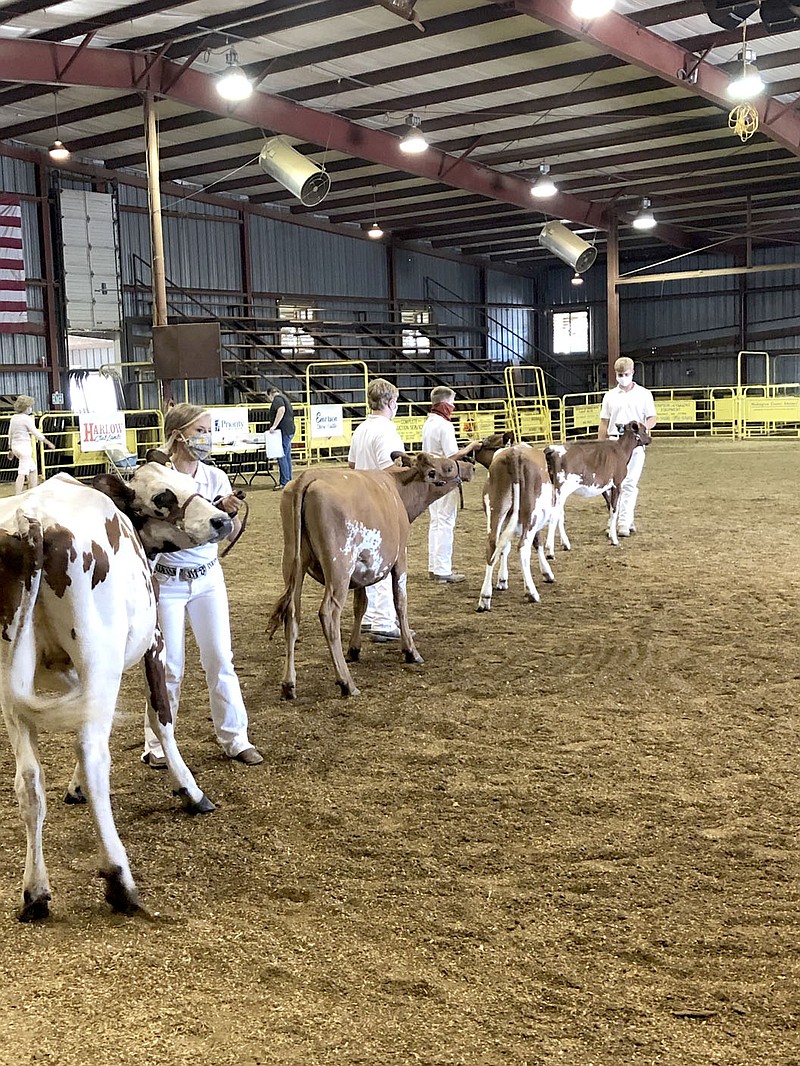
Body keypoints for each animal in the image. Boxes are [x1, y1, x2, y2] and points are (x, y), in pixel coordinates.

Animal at [0, 466, 231, 925]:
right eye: (163, 496)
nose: (220, 519)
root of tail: (30, 521)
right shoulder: (154, 641)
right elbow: (161, 718)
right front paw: (190, 790)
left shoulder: (63, 674)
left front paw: (72, 788)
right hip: (100, 660)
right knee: (94, 756)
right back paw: (120, 881)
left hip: (10, 678)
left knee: (29, 779)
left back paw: (35, 893)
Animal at [480, 439, 554, 609]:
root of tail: (513, 453)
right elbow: (538, 543)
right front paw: (547, 572)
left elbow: (504, 548)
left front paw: (502, 580)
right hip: (531, 514)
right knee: (523, 547)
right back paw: (532, 593)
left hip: (495, 511)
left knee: (491, 546)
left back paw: (485, 597)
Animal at [546, 417, 652, 554]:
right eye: (644, 430)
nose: (650, 439)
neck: (621, 450)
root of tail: (553, 449)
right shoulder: (617, 484)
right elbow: (614, 509)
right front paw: (614, 540)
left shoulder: (605, 487)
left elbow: (609, 507)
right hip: (562, 489)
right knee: (554, 514)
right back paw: (550, 550)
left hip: (556, 489)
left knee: (559, 514)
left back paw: (566, 544)